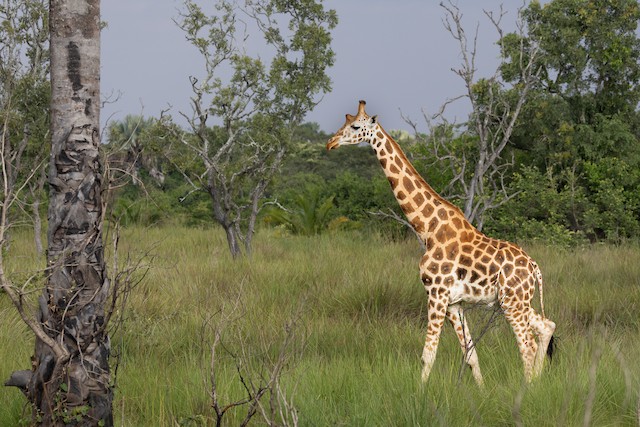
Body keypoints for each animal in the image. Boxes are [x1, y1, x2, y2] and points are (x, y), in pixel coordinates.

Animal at [326, 100, 556, 386]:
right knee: (546, 326)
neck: (427, 229)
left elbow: (428, 354)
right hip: (516, 301)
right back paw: (537, 383)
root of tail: (535, 267)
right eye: (344, 122)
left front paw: (419, 394)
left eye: (356, 126)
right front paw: (481, 391)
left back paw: (527, 389)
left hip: (513, 301)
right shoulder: (454, 302)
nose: (331, 143)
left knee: (527, 345)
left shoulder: (436, 293)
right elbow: (470, 354)